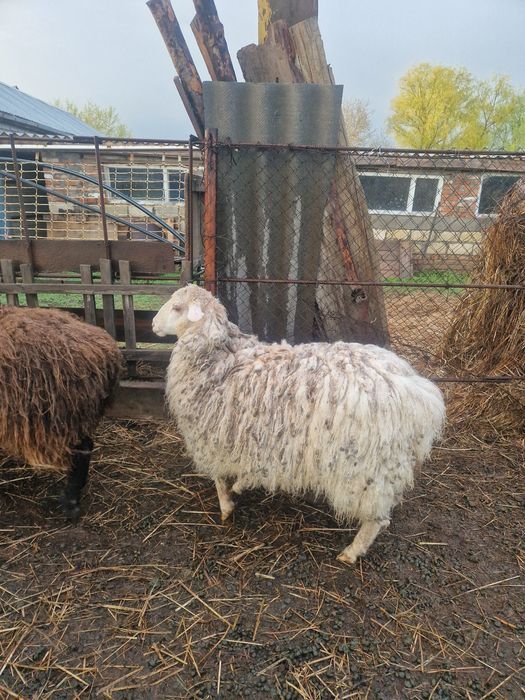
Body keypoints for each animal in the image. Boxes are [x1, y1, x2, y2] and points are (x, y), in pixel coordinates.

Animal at [152, 285, 445, 563]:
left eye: (177, 308)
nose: (153, 324)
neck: (219, 358)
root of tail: (418, 393)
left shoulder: (214, 438)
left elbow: (219, 481)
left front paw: (226, 506)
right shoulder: (249, 443)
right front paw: (242, 486)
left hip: (365, 468)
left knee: (376, 519)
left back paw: (351, 552)